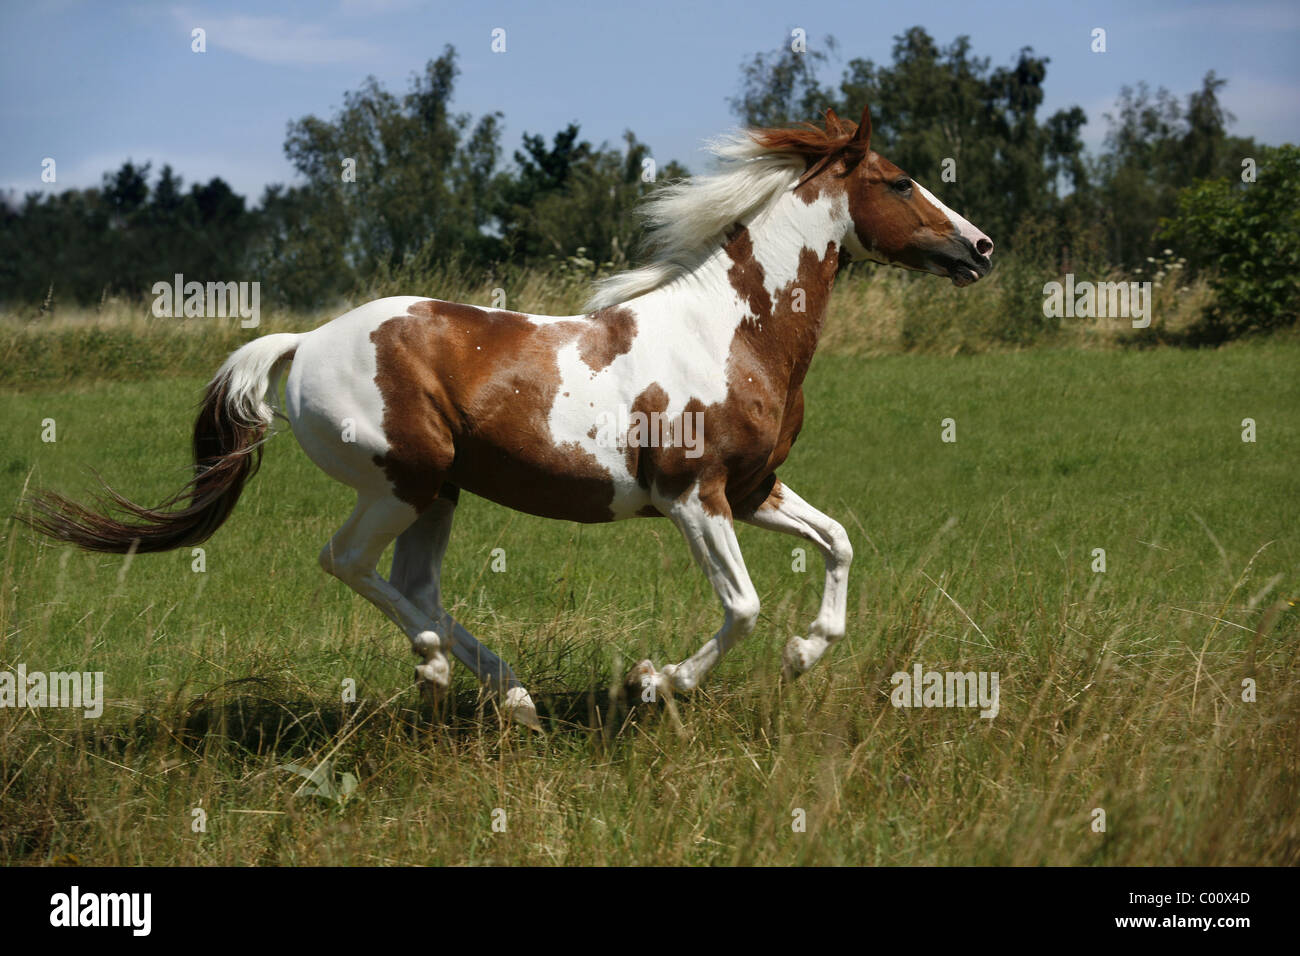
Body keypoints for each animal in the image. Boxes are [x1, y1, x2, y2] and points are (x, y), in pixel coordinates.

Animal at [20, 106, 987, 733]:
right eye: (901, 181)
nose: (978, 248)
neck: (730, 332)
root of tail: (306, 340)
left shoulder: (753, 490)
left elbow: (838, 544)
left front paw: (801, 654)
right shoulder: (693, 497)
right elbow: (743, 605)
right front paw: (653, 684)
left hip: (440, 493)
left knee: (414, 585)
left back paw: (504, 694)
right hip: (401, 480)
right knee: (350, 564)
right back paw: (442, 666)